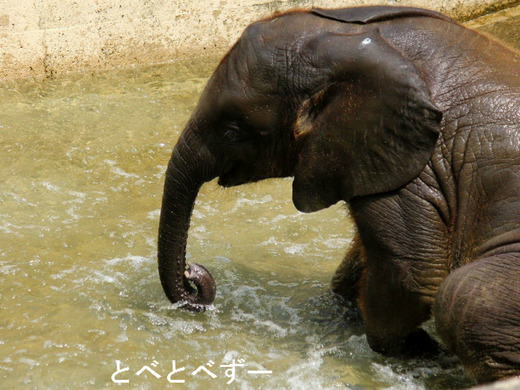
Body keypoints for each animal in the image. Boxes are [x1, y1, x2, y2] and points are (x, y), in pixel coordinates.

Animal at [156, 5, 520, 384]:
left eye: (231, 132)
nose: (193, 276)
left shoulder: (414, 169)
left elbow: (410, 271)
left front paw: (419, 353)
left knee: (463, 299)